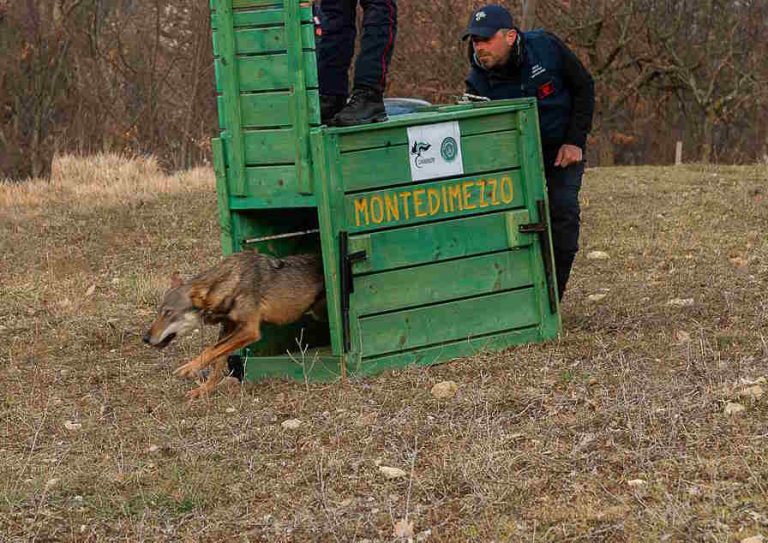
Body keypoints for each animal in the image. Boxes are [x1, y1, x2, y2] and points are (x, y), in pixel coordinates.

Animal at [142, 251, 326, 400]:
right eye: (159, 312)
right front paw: (204, 390)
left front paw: (189, 367)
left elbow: (209, 350)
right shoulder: (227, 328)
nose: (145, 338)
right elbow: (217, 361)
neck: (228, 284)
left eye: (168, 313)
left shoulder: (249, 330)